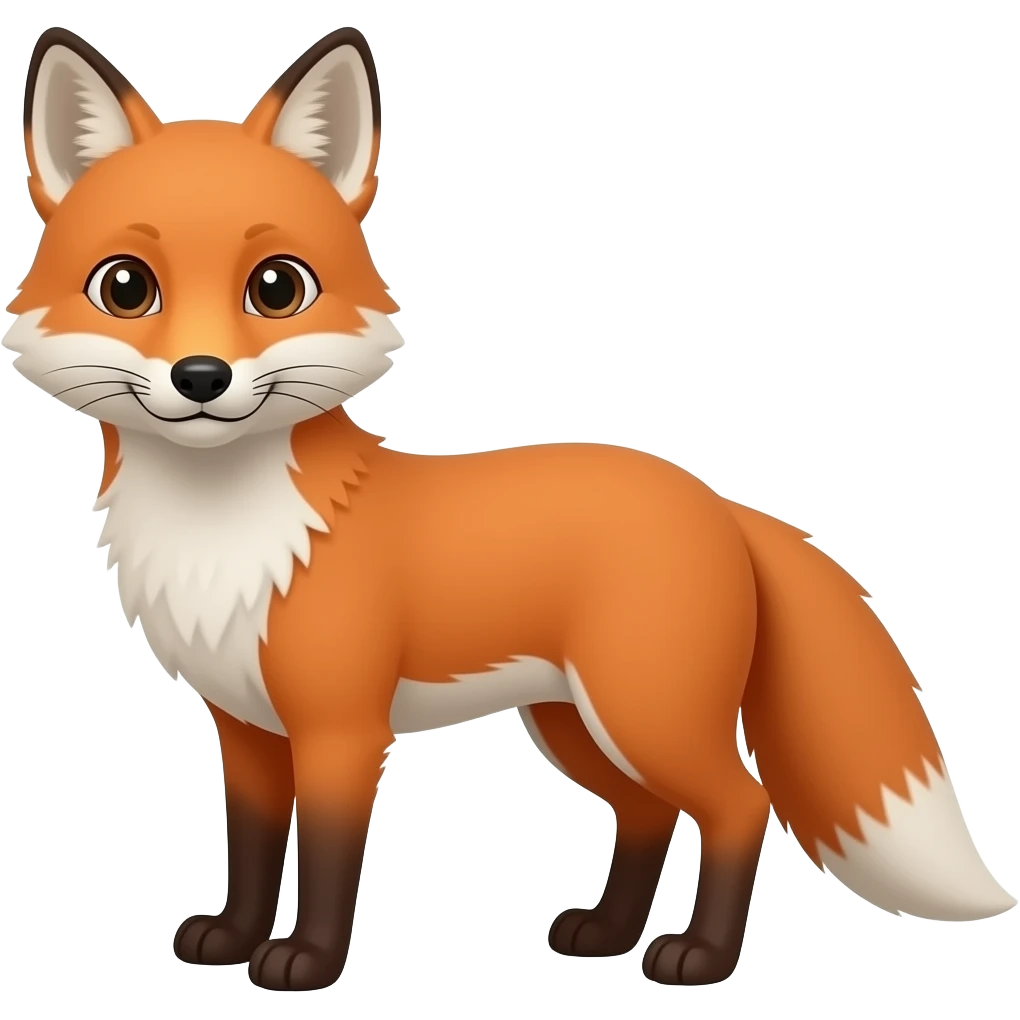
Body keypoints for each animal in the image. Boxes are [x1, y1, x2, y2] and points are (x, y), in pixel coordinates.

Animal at [4, 25, 1015, 993]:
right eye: (126, 287)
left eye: (277, 287)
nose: (202, 377)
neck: (224, 533)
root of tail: (716, 499)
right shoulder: (247, 728)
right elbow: (249, 849)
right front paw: (233, 938)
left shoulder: (342, 729)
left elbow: (328, 859)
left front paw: (307, 964)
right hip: (577, 723)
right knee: (648, 812)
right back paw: (607, 934)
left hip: (644, 712)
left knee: (740, 804)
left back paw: (700, 958)